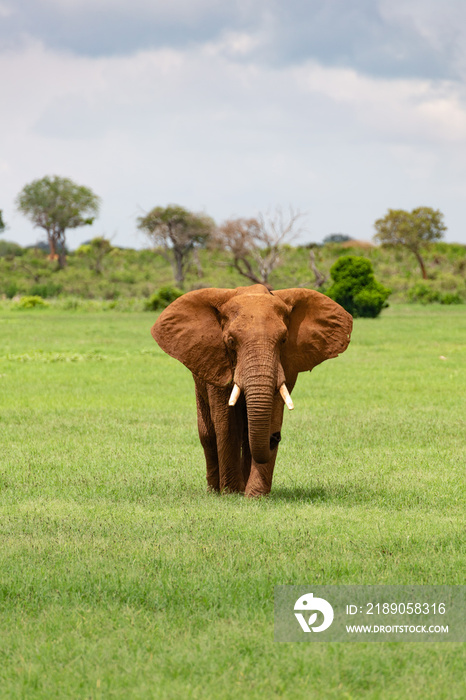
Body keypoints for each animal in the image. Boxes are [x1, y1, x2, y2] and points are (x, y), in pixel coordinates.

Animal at [153, 284, 354, 498]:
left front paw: (255, 496)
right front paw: (231, 493)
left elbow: (271, 414)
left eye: (284, 340)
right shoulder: (217, 361)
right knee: (207, 434)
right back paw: (215, 491)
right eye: (231, 341)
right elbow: (227, 424)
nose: (275, 438)